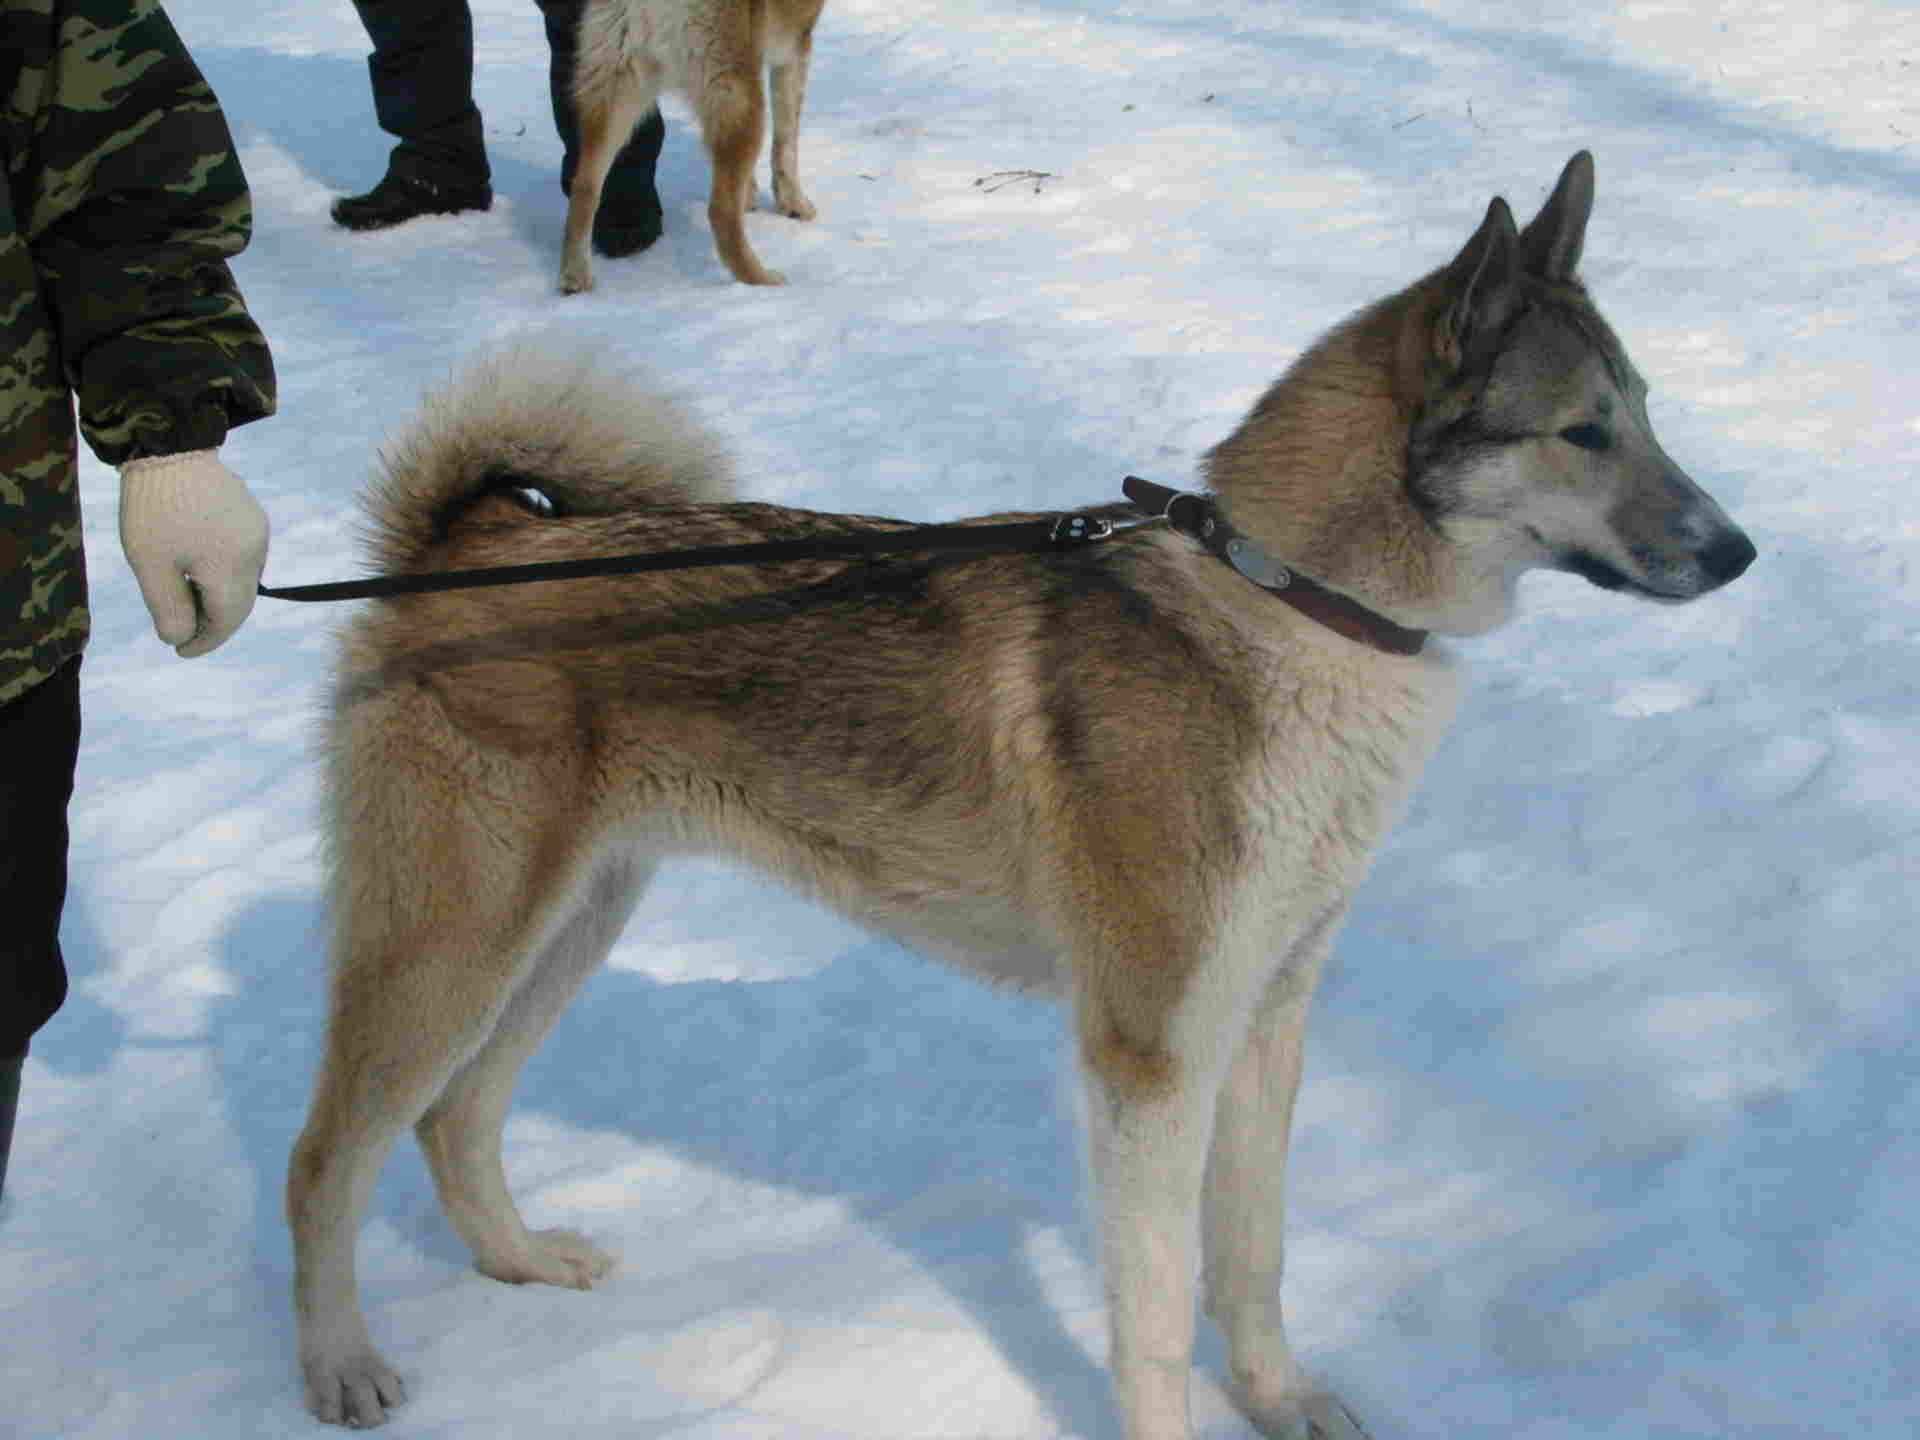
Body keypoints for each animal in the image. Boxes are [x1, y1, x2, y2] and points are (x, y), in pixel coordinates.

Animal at [288, 152, 1758, 1436]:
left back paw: (524, 1266)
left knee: (453, 1118)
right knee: (327, 1163)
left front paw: (1280, 1403)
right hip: (457, 946)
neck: (1294, 607)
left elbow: (1255, 1259)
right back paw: (342, 1367)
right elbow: (1157, 1320)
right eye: (1582, 431)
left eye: (1648, 411)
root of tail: (470, 537)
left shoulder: (1268, 1017)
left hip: (572, 923)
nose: (1739, 553)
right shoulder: (1151, 1054)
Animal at [556, 0, 825, 289]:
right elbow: (786, 143)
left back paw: (575, 276)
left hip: (618, 88)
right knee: (721, 212)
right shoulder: (794, 46)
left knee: (584, 188)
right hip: (738, 96)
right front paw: (794, 205)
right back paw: (759, 278)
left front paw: (751, 197)